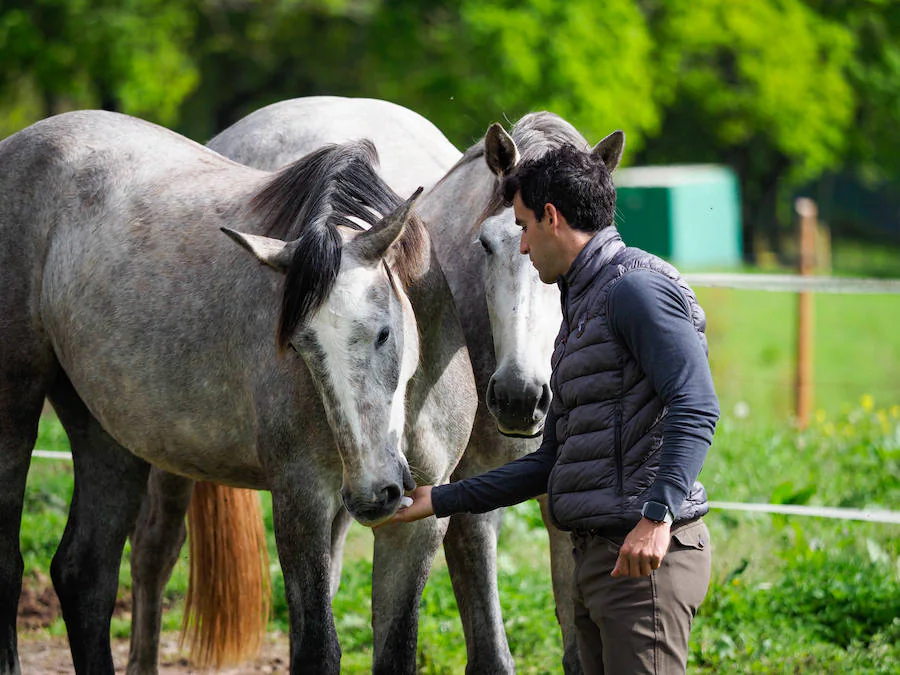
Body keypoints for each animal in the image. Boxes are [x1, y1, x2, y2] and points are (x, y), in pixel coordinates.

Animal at [0, 111, 478, 675]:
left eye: (383, 332)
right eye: (300, 346)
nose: (374, 492)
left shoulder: (420, 521)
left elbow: (398, 650)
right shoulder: (302, 498)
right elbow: (316, 648)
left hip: (105, 435)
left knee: (86, 575)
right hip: (14, 408)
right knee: (11, 567)